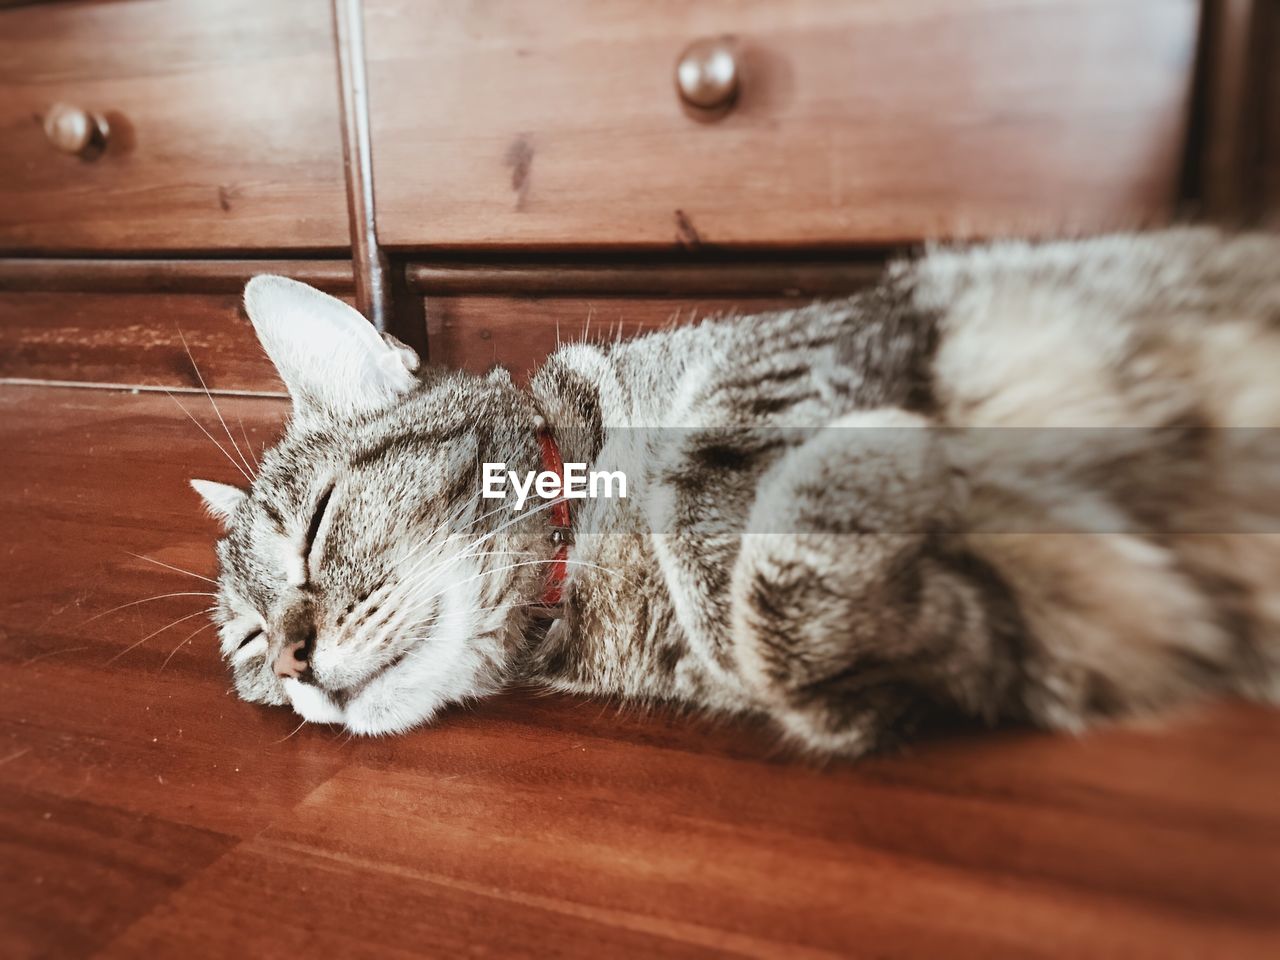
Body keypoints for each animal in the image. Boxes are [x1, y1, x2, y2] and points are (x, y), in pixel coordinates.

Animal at [189, 229, 1280, 757]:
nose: (288, 661)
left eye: (317, 525)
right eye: (246, 642)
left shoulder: (807, 339)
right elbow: (798, 660)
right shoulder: (1003, 668)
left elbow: (707, 491)